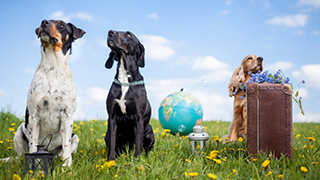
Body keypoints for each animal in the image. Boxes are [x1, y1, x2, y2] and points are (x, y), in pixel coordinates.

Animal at [13, 19, 85, 166]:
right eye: (45, 21)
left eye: (61, 25)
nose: (44, 22)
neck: (54, 67)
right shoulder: (34, 116)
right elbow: (33, 145)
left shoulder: (66, 116)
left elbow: (66, 145)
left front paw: (66, 166)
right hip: (19, 131)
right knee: (22, 155)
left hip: (75, 137)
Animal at [104, 29, 154, 160]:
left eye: (128, 34)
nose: (110, 32)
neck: (125, 80)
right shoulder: (112, 117)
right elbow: (113, 142)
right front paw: (110, 160)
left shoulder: (138, 118)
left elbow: (138, 142)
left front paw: (137, 160)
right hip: (107, 134)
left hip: (150, 132)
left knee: (146, 148)